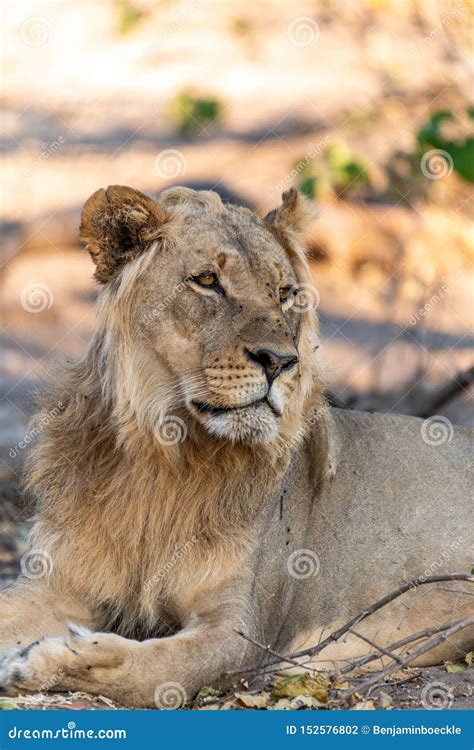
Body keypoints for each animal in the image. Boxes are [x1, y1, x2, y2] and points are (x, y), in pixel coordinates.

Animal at [0, 185, 472, 708]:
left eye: (284, 293)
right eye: (207, 281)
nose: (281, 361)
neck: (163, 456)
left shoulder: (237, 633)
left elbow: (149, 672)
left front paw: (39, 660)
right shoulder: (56, 584)